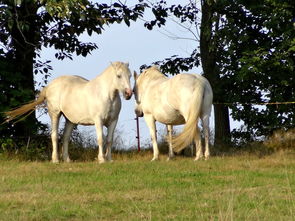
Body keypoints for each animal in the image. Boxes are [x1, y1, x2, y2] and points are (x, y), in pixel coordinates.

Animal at [5, 61, 133, 163]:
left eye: (130, 76)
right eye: (119, 76)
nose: (128, 94)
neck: (106, 95)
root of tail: (50, 86)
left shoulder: (113, 121)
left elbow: (109, 140)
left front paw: (109, 159)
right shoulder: (98, 120)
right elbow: (101, 139)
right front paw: (101, 159)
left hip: (70, 120)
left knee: (65, 137)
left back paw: (67, 159)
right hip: (55, 115)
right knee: (54, 135)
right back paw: (55, 159)